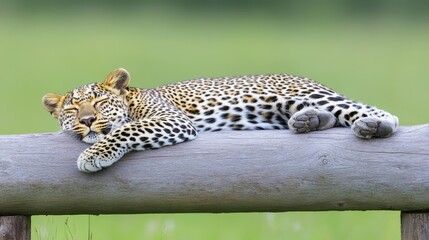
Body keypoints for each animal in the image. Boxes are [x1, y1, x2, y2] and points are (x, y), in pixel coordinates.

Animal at [41, 67, 396, 172]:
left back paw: (375, 124)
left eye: (100, 102)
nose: (88, 120)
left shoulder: (171, 119)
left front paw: (92, 155)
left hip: (303, 94)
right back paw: (309, 122)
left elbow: (125, 130)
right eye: (72, 110)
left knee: (363, 109)